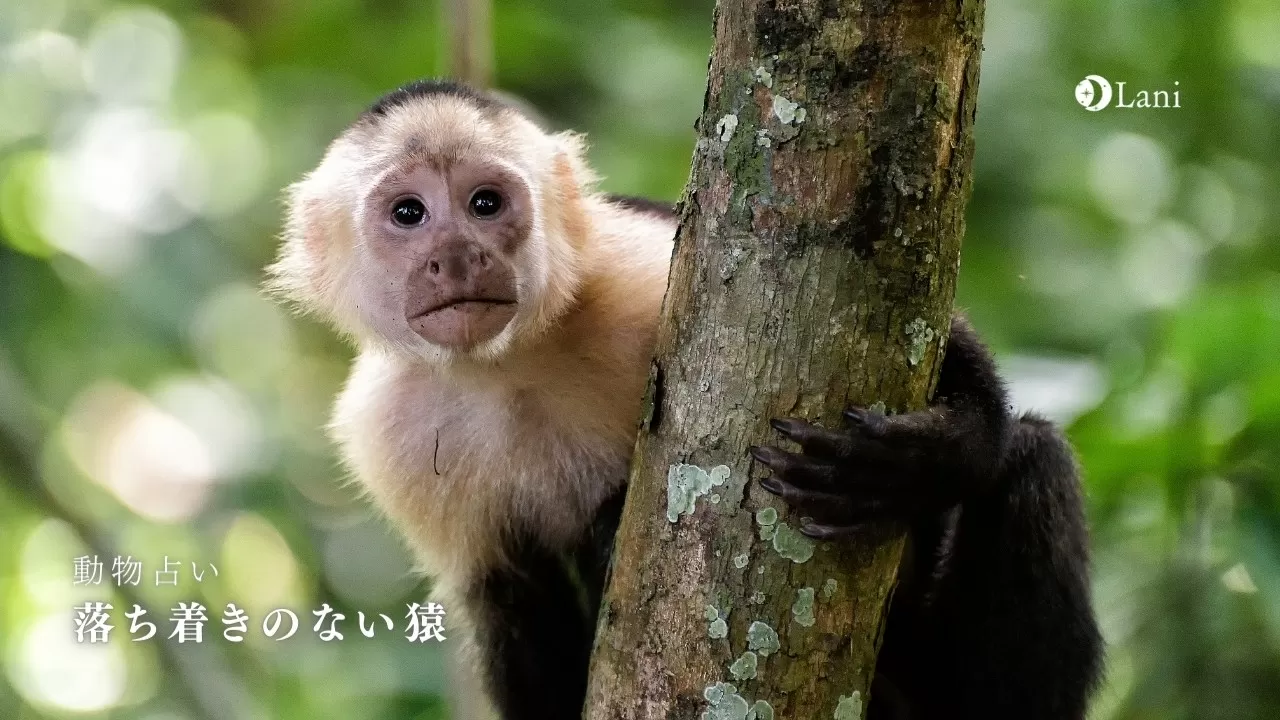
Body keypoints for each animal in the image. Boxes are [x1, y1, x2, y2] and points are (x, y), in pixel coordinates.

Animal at [268, 79, 1103, 720]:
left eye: (483, 203)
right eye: (408, 213)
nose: (457, 257)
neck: (506, 365)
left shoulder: (631, 266)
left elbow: (938, 337)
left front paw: (923, 460)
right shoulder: (386, 433)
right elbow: (511, 602)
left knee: (1033, 455)